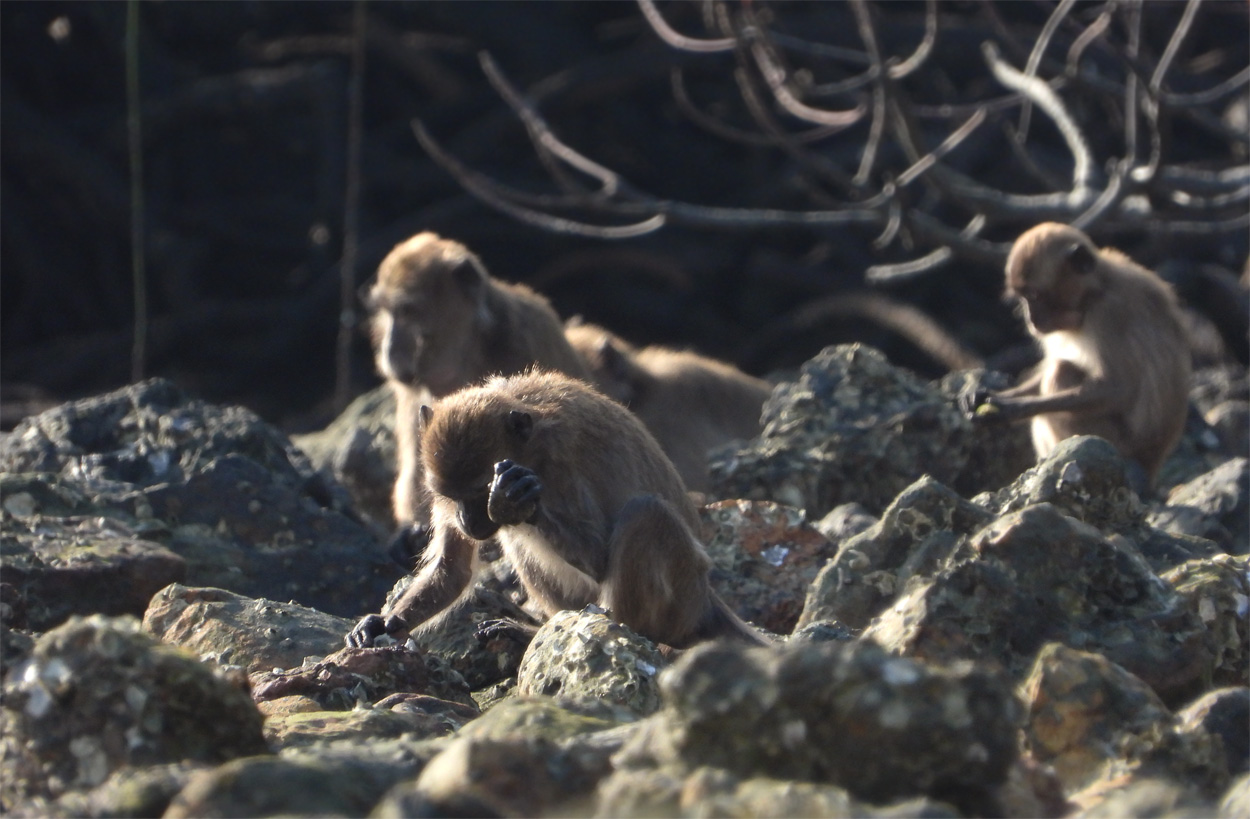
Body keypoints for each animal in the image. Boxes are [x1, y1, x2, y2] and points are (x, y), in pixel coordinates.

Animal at [345, 370, 767, 651]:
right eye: (451, 496)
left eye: (479, 493)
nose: (466, 520)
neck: (532, 446)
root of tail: (705, 600)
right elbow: (453, 569)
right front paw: (384, 624)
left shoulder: (561, 469)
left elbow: (599, 558)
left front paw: (511, 501)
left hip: (681, 596)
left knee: (645, 514)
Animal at [362, 232, 592, 565]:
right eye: (386, 312)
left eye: (407, 311)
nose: (389, 349)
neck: (469, 350)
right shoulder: (414, 390)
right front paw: (410, 532)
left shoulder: (526, 338)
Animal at [964, 223, 1192, 487]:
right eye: (1023, 297)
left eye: (1034, 295)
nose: (1031, 319)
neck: (1095, 292)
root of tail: (1152, 462)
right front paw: (985, 395)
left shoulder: (1110, 313)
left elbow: (1118, 389)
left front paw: (1015, 408)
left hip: (1117, 443)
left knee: (1060, 371)